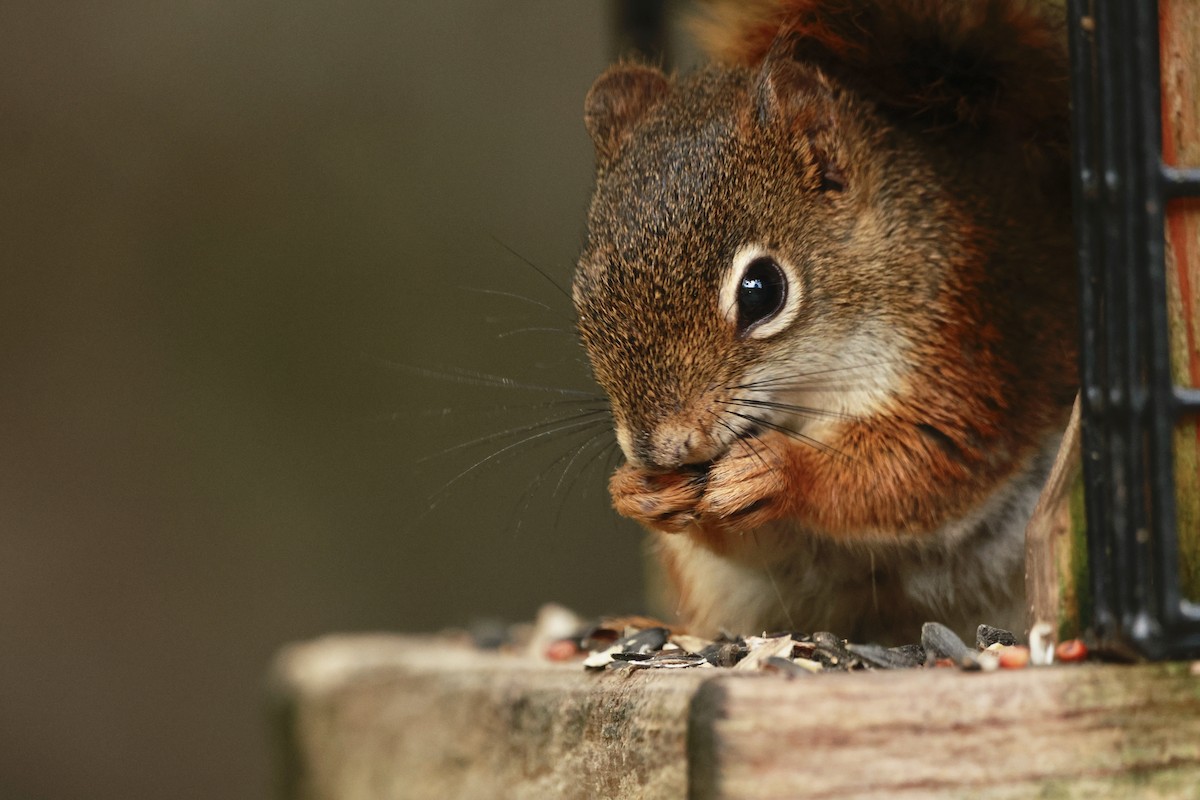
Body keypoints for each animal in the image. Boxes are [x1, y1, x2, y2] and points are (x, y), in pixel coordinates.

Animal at [571, 0, 1076, 644]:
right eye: (586, 290)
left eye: (762, 291)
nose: (660, 450)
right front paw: (636, 492)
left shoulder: (966, 354)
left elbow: (916, 468)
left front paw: (777, 471)